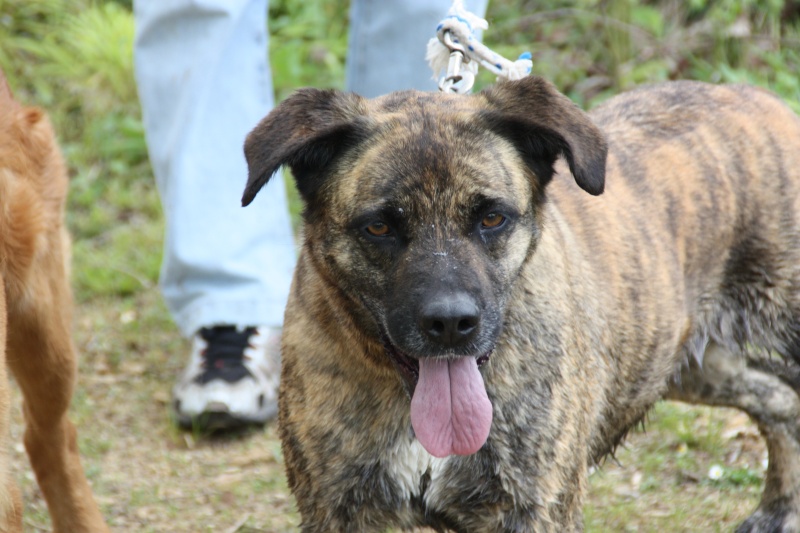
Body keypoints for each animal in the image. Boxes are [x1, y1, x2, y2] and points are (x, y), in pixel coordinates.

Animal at [241, 76, 800, 532]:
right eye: (379, 226)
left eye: (492, 218)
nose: (451, 323)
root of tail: (764, 99)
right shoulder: (339, 508)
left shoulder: (533, 508)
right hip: (691, 366)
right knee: (779, 402)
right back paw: (778, 508)